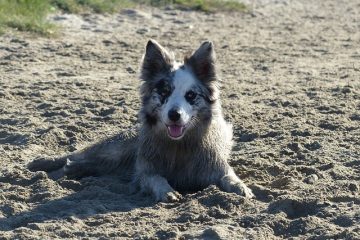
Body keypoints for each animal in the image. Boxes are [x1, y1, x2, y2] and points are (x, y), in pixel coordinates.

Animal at [29, 40, 255, 202]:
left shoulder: (216, 166)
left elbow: (229, 176)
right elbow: (156, 178)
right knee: (77, 154)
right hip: (116, 148)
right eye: (164, 92)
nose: (174, 115)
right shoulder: (146, 171)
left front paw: (242, 187)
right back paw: (45, 163)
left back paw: (74, 169)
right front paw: (166, 191)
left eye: (190, 95)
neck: (179, 145)